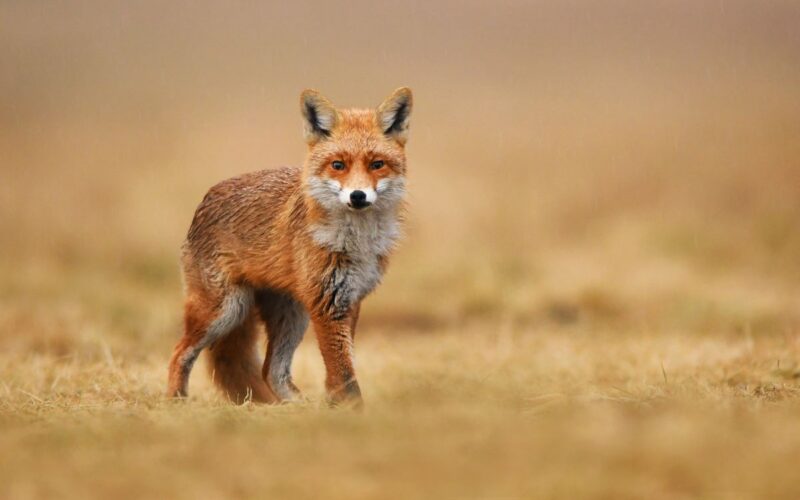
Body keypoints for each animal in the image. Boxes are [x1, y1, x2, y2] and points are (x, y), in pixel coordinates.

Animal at [163, 87, 412, 406]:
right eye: (338, 165)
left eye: (377, 164)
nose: (358, 196)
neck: (356, 242)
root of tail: (208, 196)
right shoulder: (328, 304)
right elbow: (344, 375)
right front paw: (353, 410)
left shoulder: (350, 298)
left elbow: (342, 368)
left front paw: (335, 406)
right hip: (224, 311)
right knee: (179, 352)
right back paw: (176, 401)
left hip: (290, 316)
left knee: (271, 370)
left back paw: (299, 407)